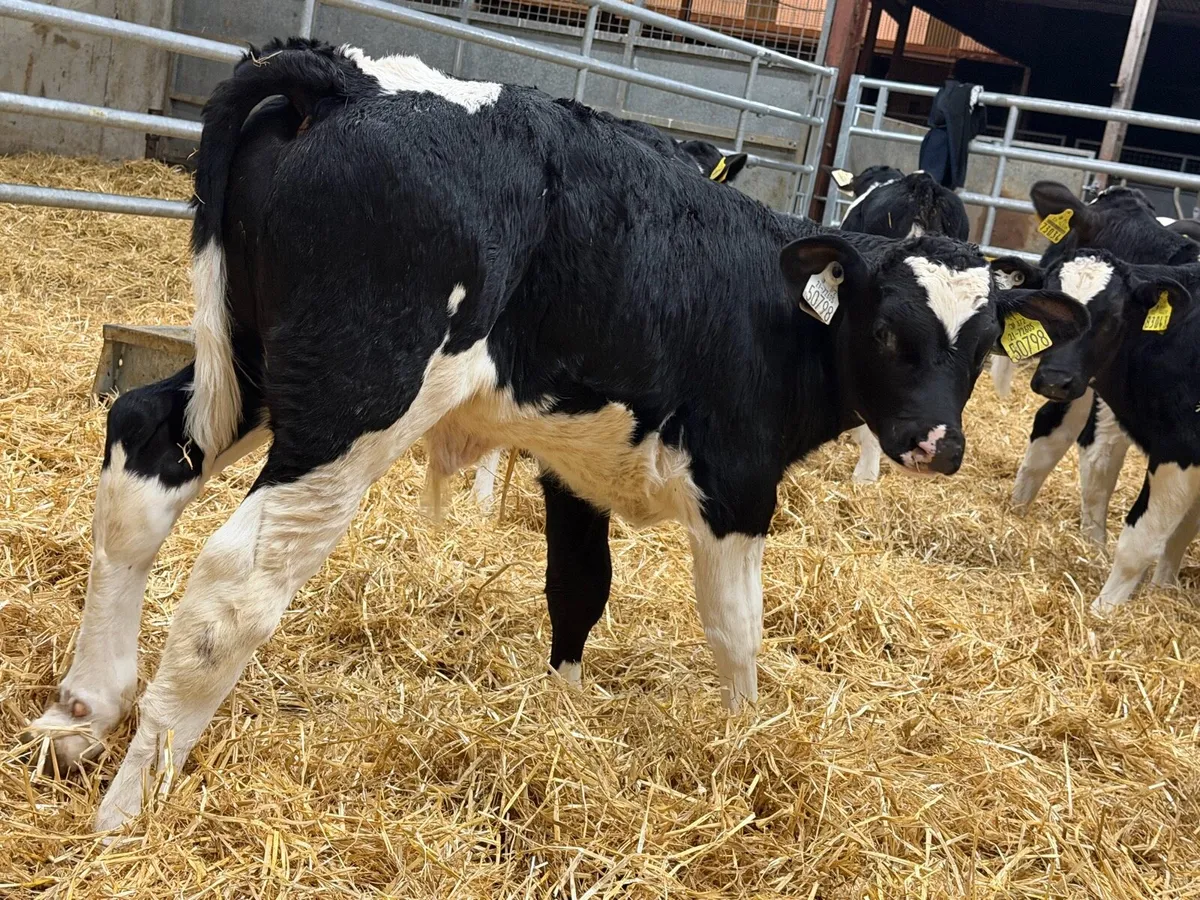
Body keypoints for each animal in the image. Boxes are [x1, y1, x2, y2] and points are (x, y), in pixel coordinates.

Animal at [20, 41, 1086, 830]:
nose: (938, 445)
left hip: (249, 371)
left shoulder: (578, 469)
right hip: (351, 405)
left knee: (144, 450)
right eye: (888, 330)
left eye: (983, 344)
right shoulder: (738, 484)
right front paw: (746, 740)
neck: (768, 301)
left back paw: (82, 713)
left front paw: (566, 711)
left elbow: (579, 589)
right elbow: (736, 630)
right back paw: (131, 803)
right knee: (233, 585)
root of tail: (353, 79)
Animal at [1030, 250, 1198, 615]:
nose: (1054, 380)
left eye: (1110, 317)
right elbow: (1177, 533)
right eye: (1045, 312)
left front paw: (1102, 610)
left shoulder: (1180, 450)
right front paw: (1163, 590)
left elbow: (1141, 541)